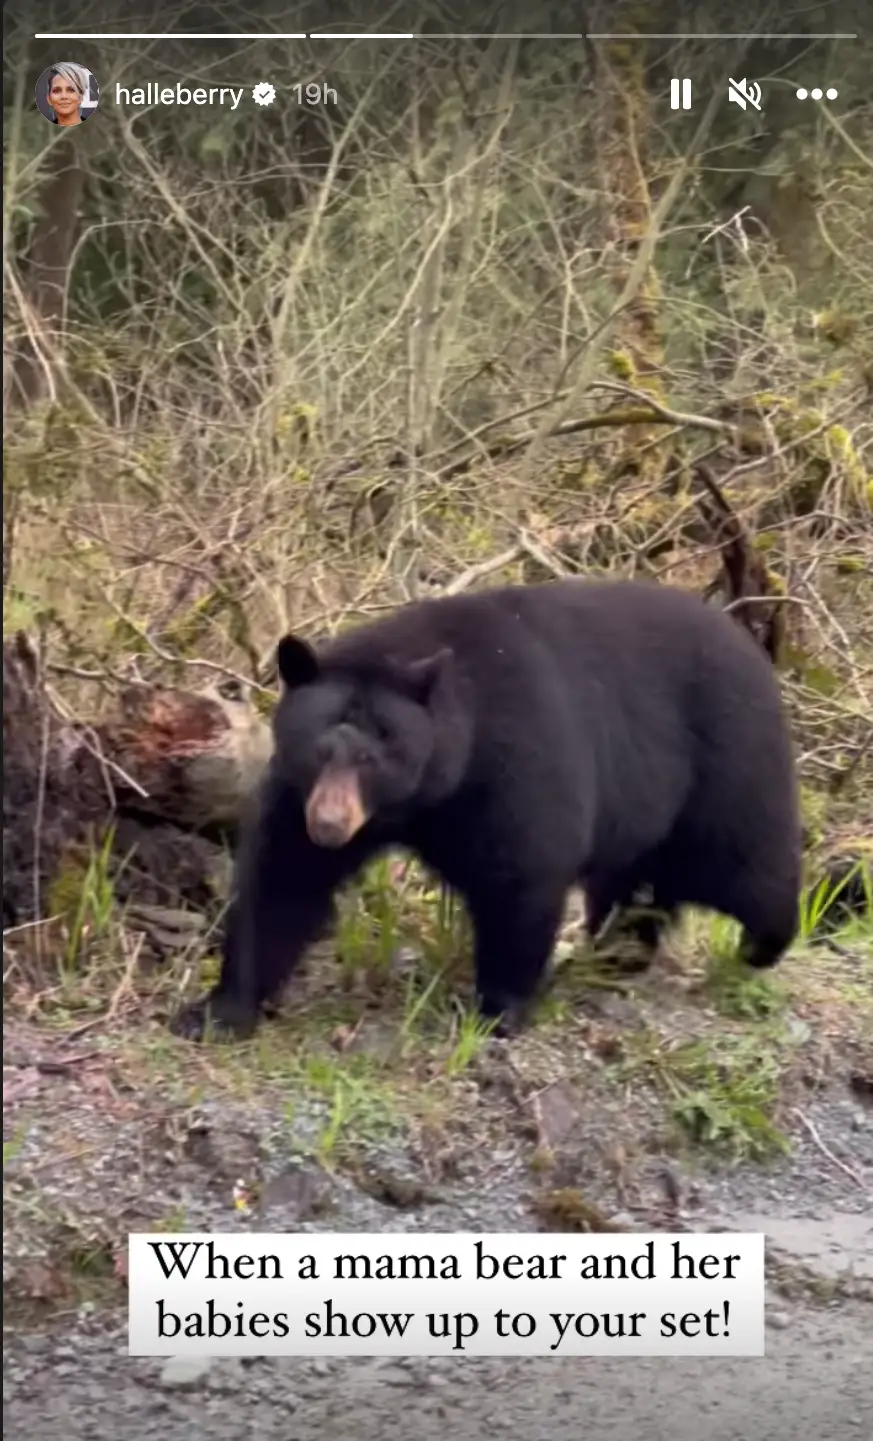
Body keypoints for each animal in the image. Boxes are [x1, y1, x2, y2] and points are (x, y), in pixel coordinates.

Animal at [171, 577, 802, 1042]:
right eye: (318, 750)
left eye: (376, 759)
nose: (330, 825)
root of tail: (750, 643)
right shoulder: (300, 796)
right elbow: (283, 879)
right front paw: (217, 1012)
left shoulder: (514, 760)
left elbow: (521, 874)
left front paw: (500, 1009)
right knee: (631, 886)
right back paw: (616, 954)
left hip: (725, 762)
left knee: (741, 860)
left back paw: (762, 944)